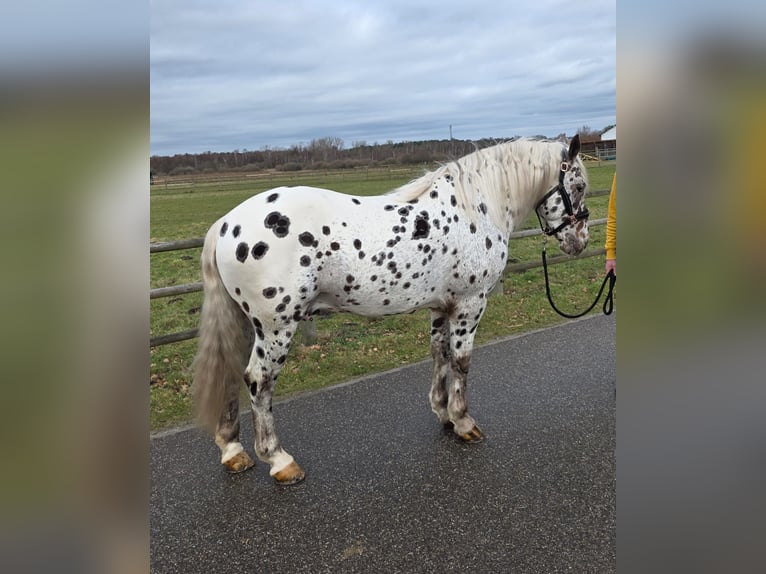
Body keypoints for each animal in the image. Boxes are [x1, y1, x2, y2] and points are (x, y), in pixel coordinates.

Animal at [192, 135, 590, 484]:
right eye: (579, 185)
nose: (580, 241)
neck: (475, 208)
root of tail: (226, 224)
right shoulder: (470, 303)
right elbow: (461, 362)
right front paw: (463, 422)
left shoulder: (441, 306)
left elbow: (440, 355)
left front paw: (443, 413)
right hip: (276, 327)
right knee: (259, 382)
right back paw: (279, 460)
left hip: (247, 324)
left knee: (231, 373)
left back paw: (233, 451)